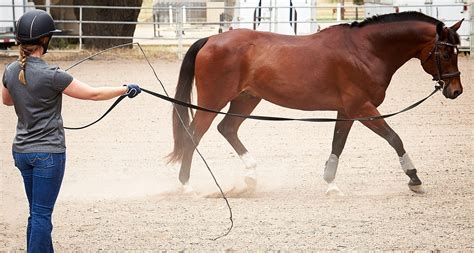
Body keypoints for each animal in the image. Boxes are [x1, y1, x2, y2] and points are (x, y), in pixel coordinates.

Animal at [168, 11, 462, 194]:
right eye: (446, 53)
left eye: (458, 51)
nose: (456, 90)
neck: (365, 50)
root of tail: (211, 39)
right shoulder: (362, 108)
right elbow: (394, 138)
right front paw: (414, 178)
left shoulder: (346, 111)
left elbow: (338, 144)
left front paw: (331, 184)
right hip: (215, 99)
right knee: (194, 134)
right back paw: (185, 185)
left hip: (247, 98)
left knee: (227, 128)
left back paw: (250, 174)